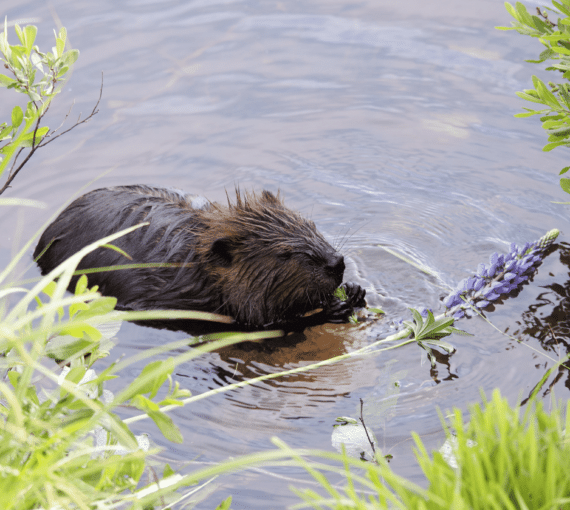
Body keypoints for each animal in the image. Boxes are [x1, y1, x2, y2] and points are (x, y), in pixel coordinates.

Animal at [33, 185, 364, 328]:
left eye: (312, 225)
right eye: (284, 254)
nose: (336, 263)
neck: (193, 264)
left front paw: (355, 291)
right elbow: (260, 322)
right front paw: (332, 308)